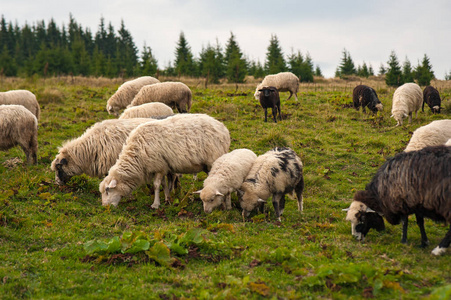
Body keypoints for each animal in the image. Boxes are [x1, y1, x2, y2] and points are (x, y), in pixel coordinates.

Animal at [100, 112, 231, 209]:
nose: (105, 207)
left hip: (213, 159)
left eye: (107, 190)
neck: (136, 156)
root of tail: (222, 127)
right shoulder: (163, 167)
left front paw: (155, 204)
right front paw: (167, 198)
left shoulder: (158, 166)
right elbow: (164, 184)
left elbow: (156, 185)